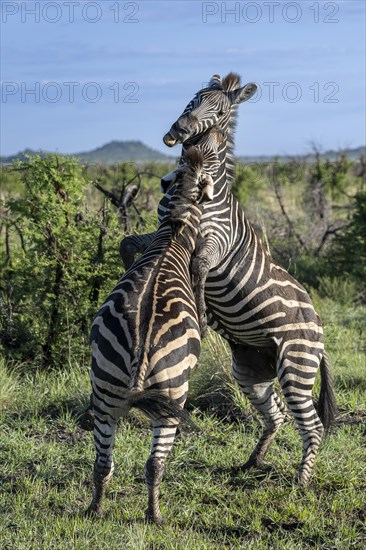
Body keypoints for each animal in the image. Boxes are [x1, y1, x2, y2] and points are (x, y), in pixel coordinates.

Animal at [86, 138, 220, 528]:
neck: (175, 228)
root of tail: (141, 345)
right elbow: (200, 274)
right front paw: (203, 318)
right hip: (174, 394)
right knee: (156, 464)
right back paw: (155, 515)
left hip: (106, 393)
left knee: (103, 462)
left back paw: (95, 509)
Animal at [127, 71, 338, 486]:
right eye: (192, 100)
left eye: (221, 111)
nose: (178, 131)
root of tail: (319, 328)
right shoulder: (159, 231)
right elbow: (129, 244)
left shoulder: (215, 241)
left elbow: (199, 270)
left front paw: (199, 316)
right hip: (252, 369)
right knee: (276, 414)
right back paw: (252, 462)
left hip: (296, 365)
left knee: (312, 425)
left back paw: (301, 483)